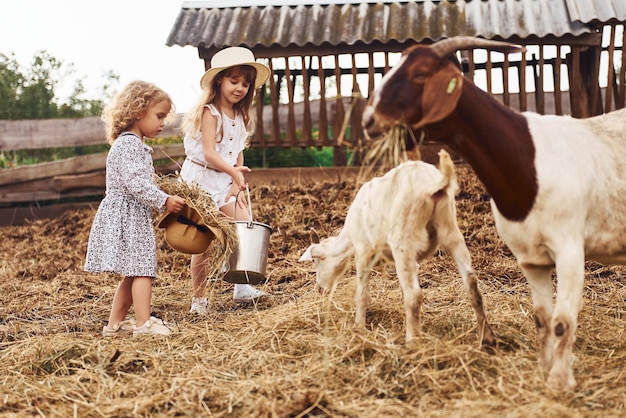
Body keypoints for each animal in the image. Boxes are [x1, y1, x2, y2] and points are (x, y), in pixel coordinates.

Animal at [298, 150, 492, 350]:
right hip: (451, 231)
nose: (319, 290)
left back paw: (412, 343)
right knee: (472, 284)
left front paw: (359, 327)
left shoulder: (363, 251)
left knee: (414, 294)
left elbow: (362, 293)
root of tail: (435, 186)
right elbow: (401, 290)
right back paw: (486, 338)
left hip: (404, 240)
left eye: (315, 261)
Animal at [360, 36, 624, 392]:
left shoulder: (570, 250)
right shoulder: (531, 259)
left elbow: (561, 323)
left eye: (420, 74)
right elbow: (542, 319)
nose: (368, 121)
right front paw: (545, 372)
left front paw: (560, 383)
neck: (527, 159)